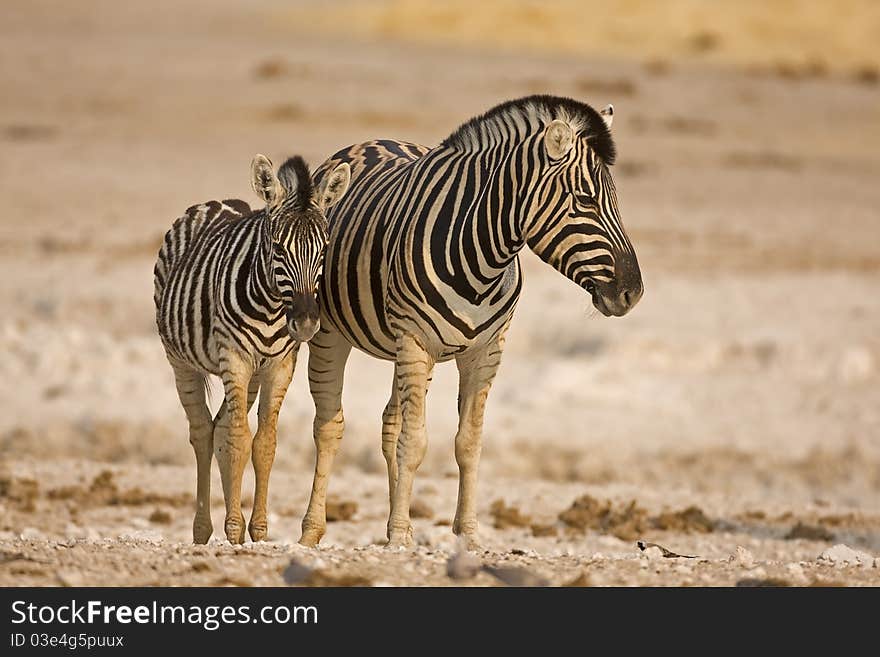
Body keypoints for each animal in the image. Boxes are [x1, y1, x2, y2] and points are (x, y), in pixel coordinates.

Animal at [155, 154, 350, 544]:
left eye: (323, 249)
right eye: (278, 248)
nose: (306, 323)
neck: (273, 306)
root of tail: (218, 201)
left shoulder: (279, 366)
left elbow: (263, 443)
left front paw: (258, 530)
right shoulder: (235, 359)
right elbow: (237, 440)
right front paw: (234, 530)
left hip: (252, 377)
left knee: (219, 427)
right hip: (180, 361)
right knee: (203, 431)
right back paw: (203, 529)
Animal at [300, 95, 640, 544]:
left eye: (614, 200)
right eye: (585, 200)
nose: (633, 292)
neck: (484, 259)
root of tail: (367, 142)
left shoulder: (487, 350)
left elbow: (468, 442)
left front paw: (465, 535)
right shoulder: (415, 341)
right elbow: (416, 441)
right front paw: (401, 536)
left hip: (399, 348)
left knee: (390, 424)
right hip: (333, 335)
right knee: (329, 427)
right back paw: (313, 531)